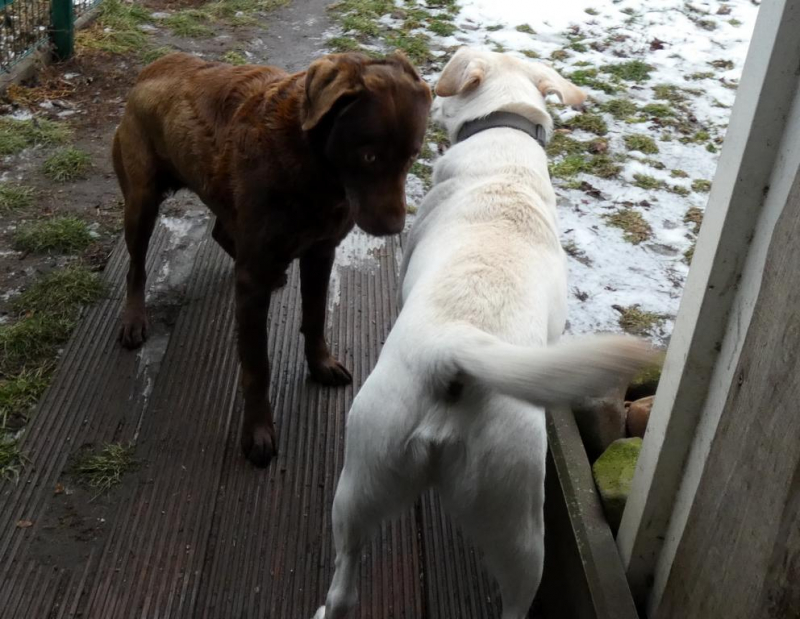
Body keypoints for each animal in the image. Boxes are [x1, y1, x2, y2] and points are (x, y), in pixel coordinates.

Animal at [113, 51, 432, 467]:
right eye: (369, 155)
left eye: (413, 155)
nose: (395, 228)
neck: (312, 166)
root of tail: (155, 65)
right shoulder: (252, 283)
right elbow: (257, 365)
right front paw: (258, 430)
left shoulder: (320, 252)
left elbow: (315, 318)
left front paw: (321, 364)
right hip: (142, 202)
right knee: (137, 266)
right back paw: (134, 319)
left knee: (221, 232)